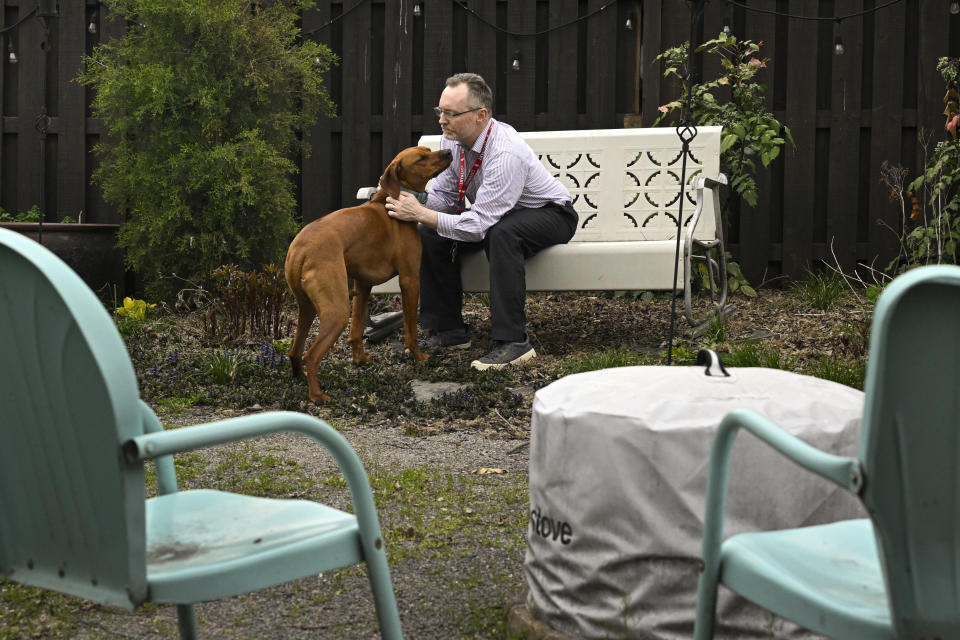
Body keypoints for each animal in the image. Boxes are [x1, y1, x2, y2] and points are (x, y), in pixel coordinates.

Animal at [284, 148, 452, 402]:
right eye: (421, 159)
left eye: (429, 151)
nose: (449, 151)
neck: (391, 201)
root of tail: (300, 249)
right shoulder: (410, 280)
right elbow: (411, 328)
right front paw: (418, 357)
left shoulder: (363, 285)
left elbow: (357, 329)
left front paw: (360, 360)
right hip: (337, 311)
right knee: (311, 355)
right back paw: (317, 396)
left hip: (307, 308)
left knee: (295, 351)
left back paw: (300, 378)